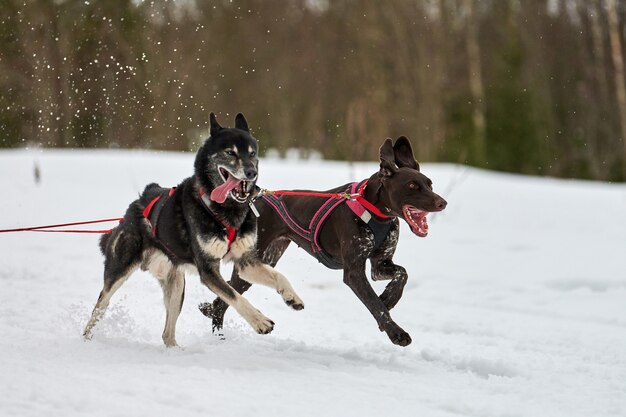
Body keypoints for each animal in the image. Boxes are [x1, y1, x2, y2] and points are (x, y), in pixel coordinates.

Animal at [200, 136, 444, 344]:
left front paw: (390, 297)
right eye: (412, 186)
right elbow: (376, 305)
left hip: (263, 263)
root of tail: (255, 198)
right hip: (251, 265)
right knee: (223, 298)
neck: (374, 211)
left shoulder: (380, 265)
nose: (443, 202)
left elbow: (402, 274)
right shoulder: (354, 272)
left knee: (221, 299)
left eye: (430, 184)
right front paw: (396, 332)